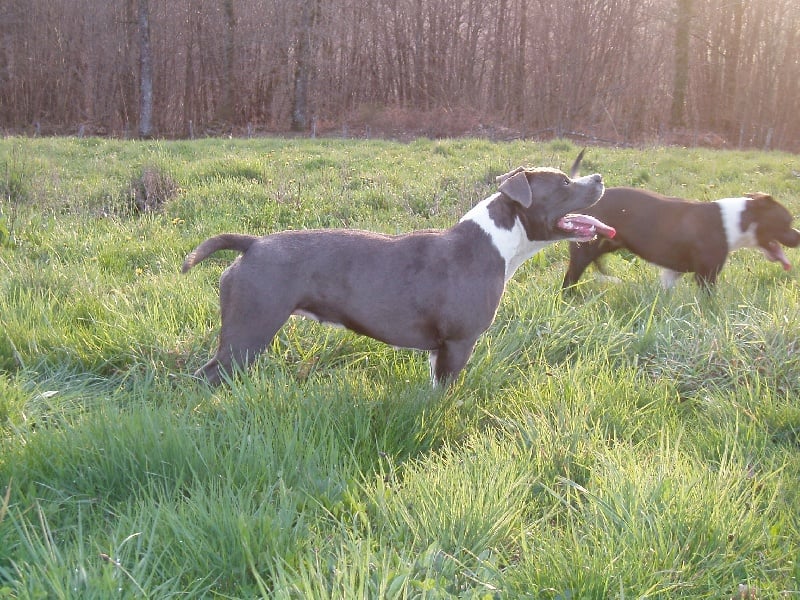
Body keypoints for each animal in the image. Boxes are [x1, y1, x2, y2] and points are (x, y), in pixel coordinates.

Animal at [184, 166, 616, 386]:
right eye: (564, 183)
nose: (598, 178)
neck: (496, 242)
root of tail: (253, 243)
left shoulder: (440, 350)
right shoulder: (459, 343)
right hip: (250, 330)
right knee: (210, 375)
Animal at [564, 188, 800, 290]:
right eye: (787, 222)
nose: (798, 236)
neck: (738, 220)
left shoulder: (673, 272)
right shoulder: (706, 276)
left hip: (607, 244)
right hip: (584, 251)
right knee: (569, 280)